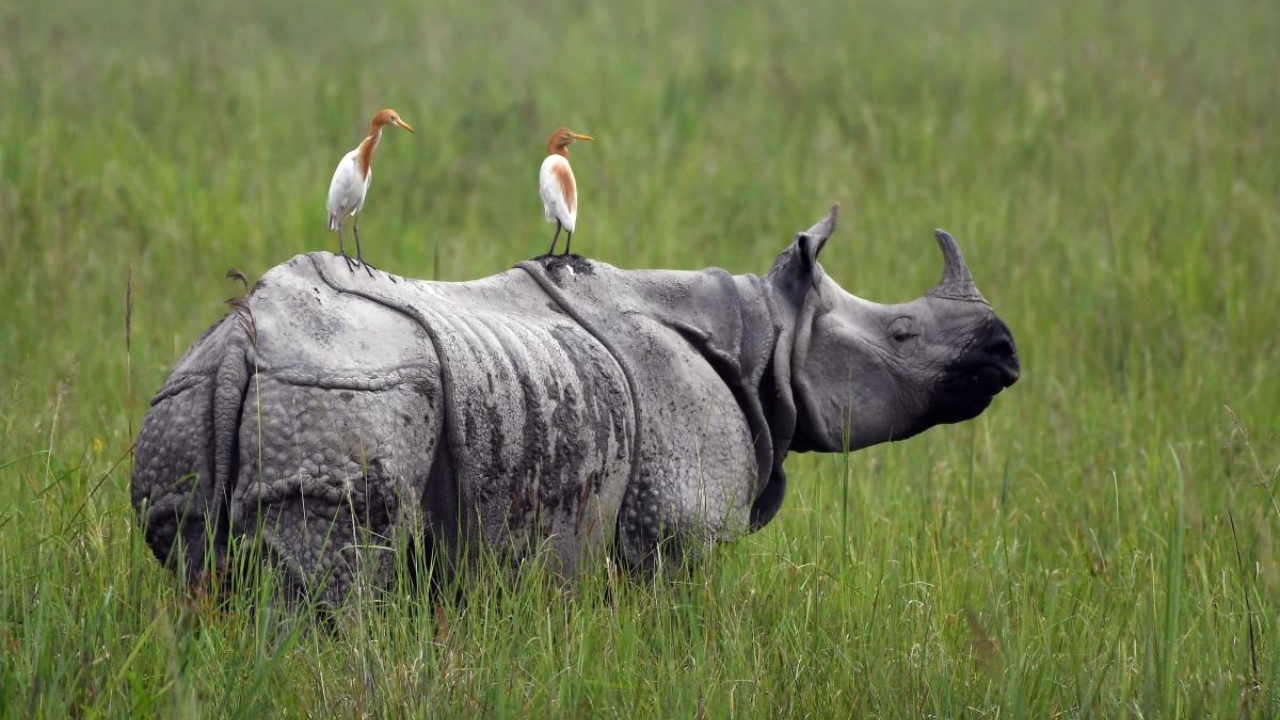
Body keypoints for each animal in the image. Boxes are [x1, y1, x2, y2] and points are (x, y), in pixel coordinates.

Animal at [131, 205, 1019, 603]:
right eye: (902, 333)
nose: (1005, 351)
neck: (766, 335)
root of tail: (239, 344)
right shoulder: (674, 535)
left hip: (190, 396)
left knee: (198, 567)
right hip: (342, 391)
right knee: (336, 587)